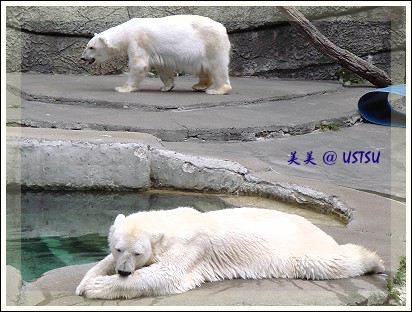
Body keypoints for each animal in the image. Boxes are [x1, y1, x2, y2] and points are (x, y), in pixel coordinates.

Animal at [75, 206, 384, 298]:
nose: (124, 270)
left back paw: (375, 261)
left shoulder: (191, 248)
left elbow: (166, 275)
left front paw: (95, 286)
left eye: (138, 253)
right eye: (118, 248)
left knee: (324, 262)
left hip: (301, 249)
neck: (174, 222)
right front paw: (85, 280)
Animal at [81, 14, 232, 94]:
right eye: (87, 46)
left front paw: (122, 88)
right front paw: (166, 87)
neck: (127, 32)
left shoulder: (138, 41)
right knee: (202, 68)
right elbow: (163, 67)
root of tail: (223, 28)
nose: (83, 58)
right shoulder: (157, 52)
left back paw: (217, 90)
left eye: (91, 47)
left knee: (217, 67)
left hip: (211, 43)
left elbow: (139, 65)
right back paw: (199, 85)